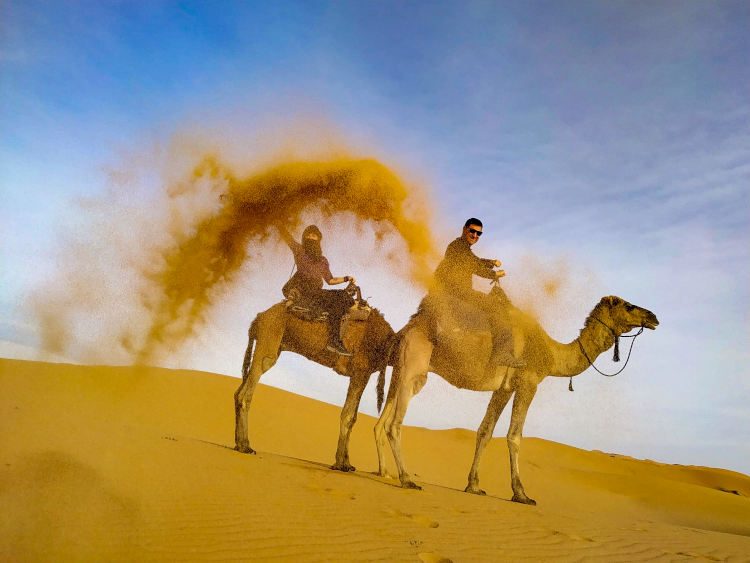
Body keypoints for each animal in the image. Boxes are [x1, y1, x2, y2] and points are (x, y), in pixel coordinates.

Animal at [235, 296, 396, 472]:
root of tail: (259, 317)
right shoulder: (360, 372)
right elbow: (347, 415)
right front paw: (339, 464)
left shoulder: (362, 375)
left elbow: (353, 418)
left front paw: (348, 464)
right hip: (268, 342)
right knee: (246, 393)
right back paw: (246, 446)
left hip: (274, 346)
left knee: (239, 392)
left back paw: (239, 444)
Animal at [374, 296, 656, 506]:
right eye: (628, 305)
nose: (654, 317)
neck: (551, 354)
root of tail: (405, 331)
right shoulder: (528, 383)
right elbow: (515, 436)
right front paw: (521, 494)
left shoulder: (504, 388)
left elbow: (485, 432)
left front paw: (474, 486)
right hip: (414, 367)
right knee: (394, 424)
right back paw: (407, 479)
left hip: (401, 371)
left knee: (381, 422)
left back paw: (384, 472)